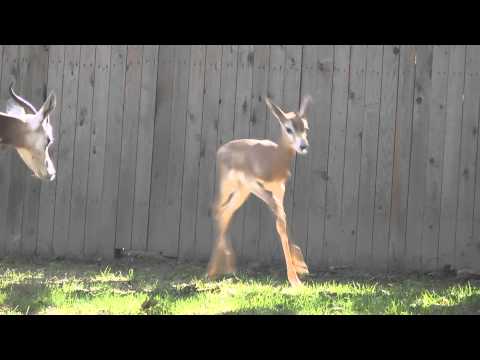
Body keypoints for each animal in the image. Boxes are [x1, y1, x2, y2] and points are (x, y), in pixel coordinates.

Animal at [208, 95, 314, 286]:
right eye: (288, 128)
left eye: (305, 127)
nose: (303, 146)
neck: (272, 158)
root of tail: (222, 149)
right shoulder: (255, 185)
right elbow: (279, 215)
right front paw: (296, 275)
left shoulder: (279, 189)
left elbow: (282, 220)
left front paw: (300, 269)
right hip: (228, 187)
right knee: (217, 209)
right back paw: (213, 270)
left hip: (241, 192)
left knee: (226, 212)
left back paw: (227, 267)